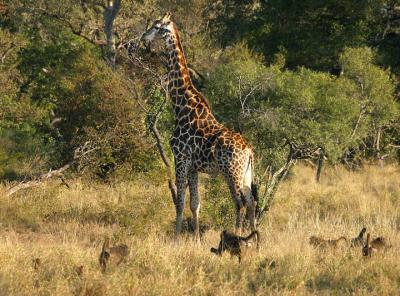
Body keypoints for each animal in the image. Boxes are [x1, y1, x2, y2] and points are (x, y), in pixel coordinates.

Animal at [142, 12, 258, 242]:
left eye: (157, 26)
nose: (144, 37)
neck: (181, 105)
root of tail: (249, 150)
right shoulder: (194, 167)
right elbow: (195, 204)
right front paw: (195, 239)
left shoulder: (180, 159)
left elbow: (179, 202)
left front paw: (176, 239)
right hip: (246, 173)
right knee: (251, 202)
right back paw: (255, 239)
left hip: (231, 171)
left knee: (239, 203)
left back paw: (237, 237)